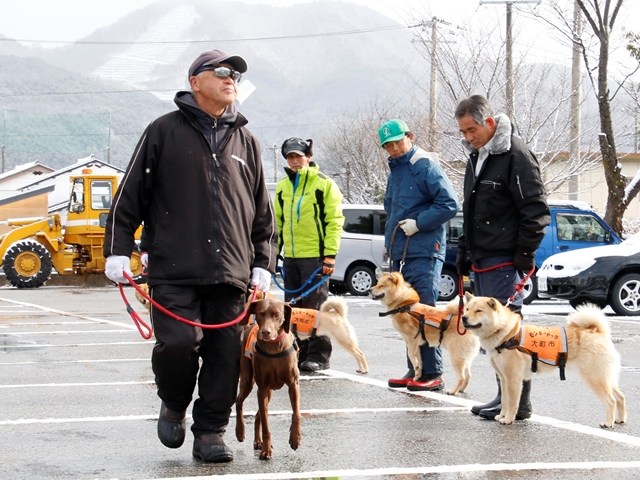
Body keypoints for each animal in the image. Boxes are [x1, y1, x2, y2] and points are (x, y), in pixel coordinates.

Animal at [235, 298, 300, 460]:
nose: (265, 332)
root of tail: (249, 325)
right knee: (239, 402)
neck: (274, 347)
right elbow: (266, 424)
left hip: (268, 391)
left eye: (277, 315)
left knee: (257, 415)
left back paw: (258, 441)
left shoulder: (293, 385)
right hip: (248, 381)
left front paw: (295, 439)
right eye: (260, 314)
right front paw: (266, 451)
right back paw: (240, 431)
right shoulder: (262, 388)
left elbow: (296, 414)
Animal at [462, 292, 628, 428]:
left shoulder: (513, 379)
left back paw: (608, 422)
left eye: (478, 311)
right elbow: (504, 401)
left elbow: (511, 402)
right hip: (607, 377)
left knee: (611, 401)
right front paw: (501, 416)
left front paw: (508, 419)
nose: (463, 318)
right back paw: (620, 419)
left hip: (595, 378)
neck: (507, 334)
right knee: (621, 397)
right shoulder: (503, 378)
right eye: (467, 309)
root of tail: (597, 332)